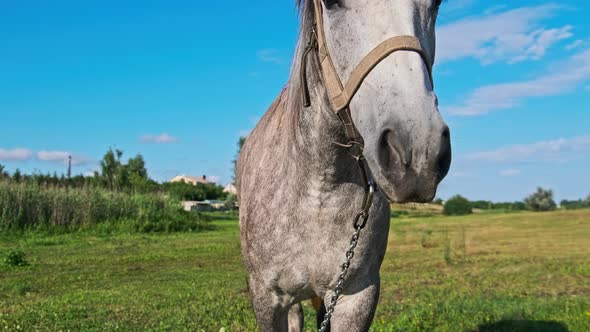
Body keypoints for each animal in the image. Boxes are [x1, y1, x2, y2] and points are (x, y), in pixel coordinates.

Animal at [238, 1, 450, 330]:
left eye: (437, 4)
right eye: (332, 3)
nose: (418, 151)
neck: (319, 191)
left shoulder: (356, 295)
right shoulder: (267, 299)